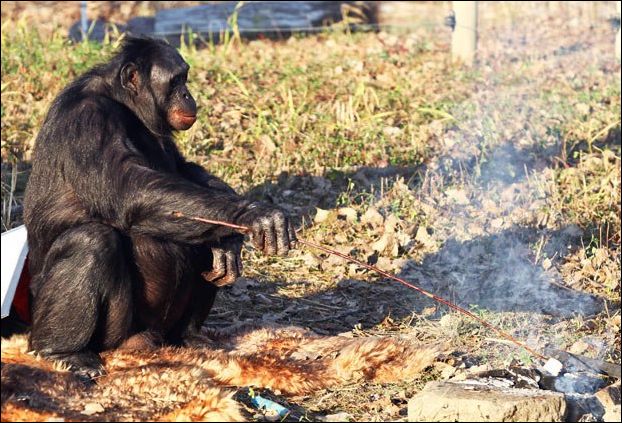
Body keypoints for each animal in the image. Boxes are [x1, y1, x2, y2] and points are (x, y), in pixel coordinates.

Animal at [23, 36, 298, 380]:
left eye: (185, 77)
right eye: (176, 80)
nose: (187, 94)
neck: (125, 105)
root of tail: (146, 341)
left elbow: (182, 169)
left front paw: (232, 236)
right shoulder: (88, 121)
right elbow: (127, 188)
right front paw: (251, 216)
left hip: (161, 327)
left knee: (198, 234)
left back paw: (191, 335)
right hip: (113, 334)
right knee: (90, 241)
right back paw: (64, 352)